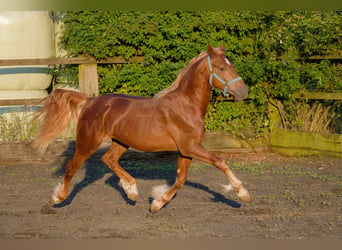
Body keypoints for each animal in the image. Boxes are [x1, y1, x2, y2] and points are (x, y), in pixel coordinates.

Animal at [33, 44, 250, 213]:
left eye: (231, 65)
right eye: (221, 68)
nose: (243, 92)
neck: (186, 105)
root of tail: (89, 101)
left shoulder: (186, 150)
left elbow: (181, 179)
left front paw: (157, 202)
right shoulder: (190, 147)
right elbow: (220, 161)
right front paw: (242, 193)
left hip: (121, 142)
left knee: (109, 159)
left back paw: (132, 190)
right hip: (88, 143)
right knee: (71, 167)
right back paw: (57, 198)